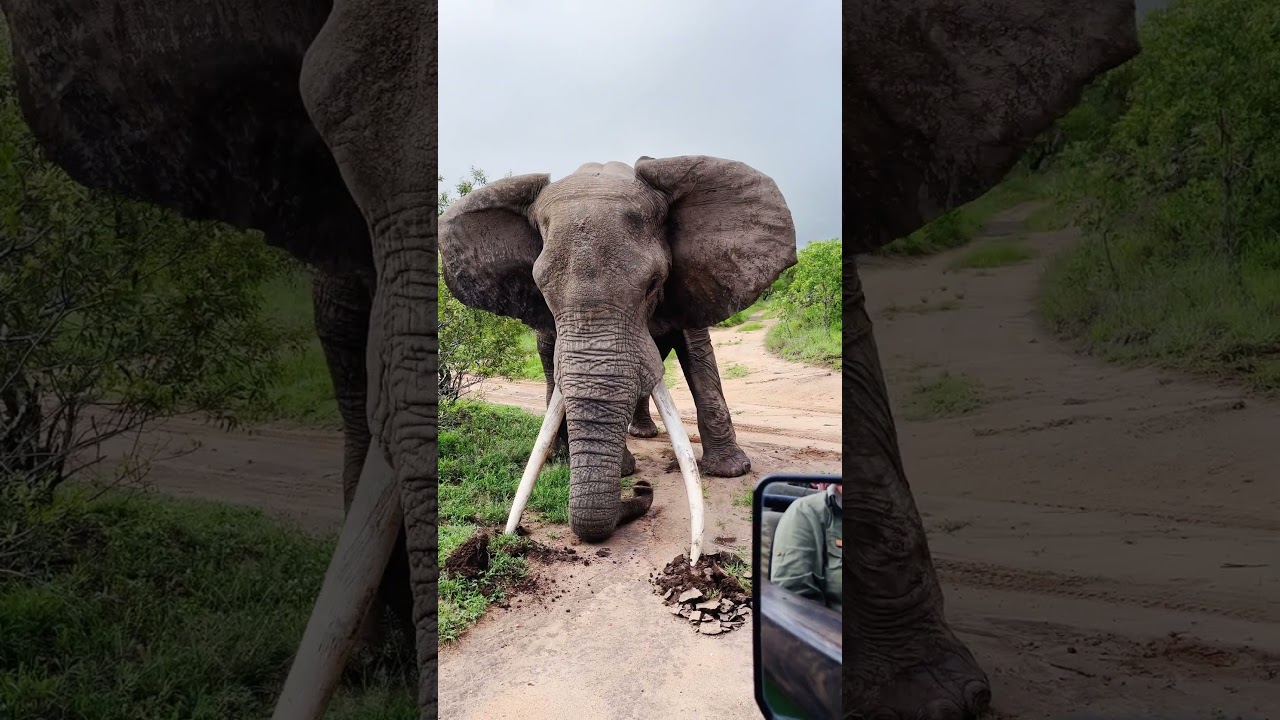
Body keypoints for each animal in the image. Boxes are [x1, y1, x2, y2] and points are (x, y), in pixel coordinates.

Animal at [438, 157, 796, 551]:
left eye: (654, 284)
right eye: (542, 291)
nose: (641, 490)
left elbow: (698, 356)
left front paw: (732, 471)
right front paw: (625, 470)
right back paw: (567, 455)